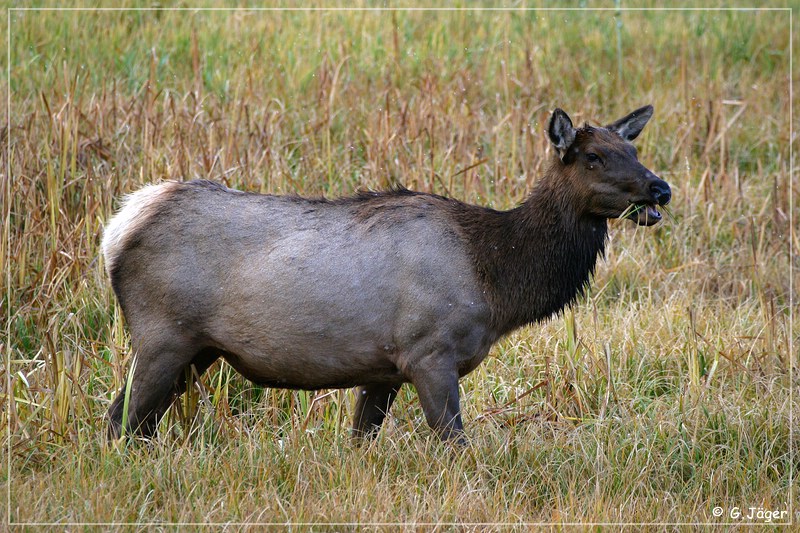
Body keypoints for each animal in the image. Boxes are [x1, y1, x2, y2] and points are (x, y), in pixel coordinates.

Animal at [103, 106, 672, 442]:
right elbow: (453, 445)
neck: (496, 279)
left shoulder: (383, 367)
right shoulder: (429, 351)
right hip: (164, 335)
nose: (660, 188)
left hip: (198, 349)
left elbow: (362, 440)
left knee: (131, 421)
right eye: (593, 157)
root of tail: (119, 226)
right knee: (120, 422)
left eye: (634, 150)